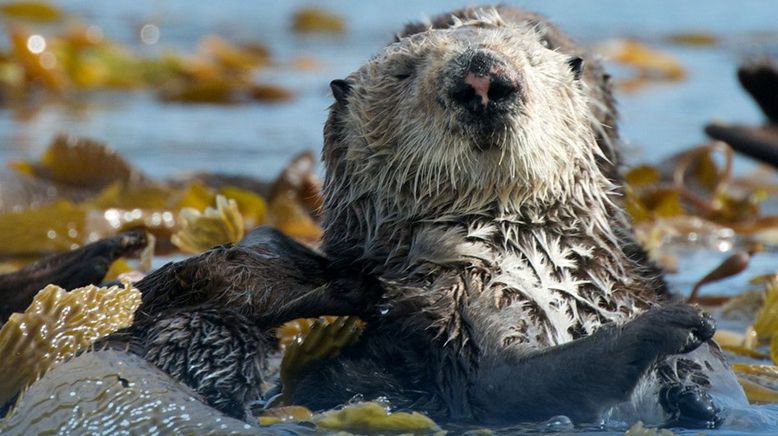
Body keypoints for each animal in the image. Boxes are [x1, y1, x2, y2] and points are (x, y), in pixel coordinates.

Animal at [107, 4, 744, 430]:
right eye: (404, 71)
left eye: (529, 57)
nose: (483, 78)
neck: (529, 255)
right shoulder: (447, 316)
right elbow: (508, 384)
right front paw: (672, 325)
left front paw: (694, 384)